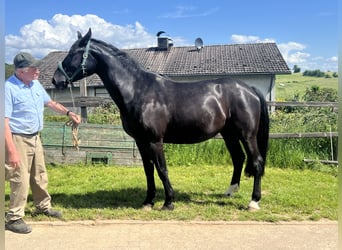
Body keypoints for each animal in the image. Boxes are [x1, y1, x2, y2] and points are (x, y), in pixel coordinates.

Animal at [52, 28, 268, 210]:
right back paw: (229, 192)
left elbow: (162, 169)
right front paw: (148, 201)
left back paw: (253, 202)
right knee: (238, 158)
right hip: (229, 133)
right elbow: (148, 169)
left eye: (73, 53)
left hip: (247, 134)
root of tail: (249, 89)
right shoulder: (141, 141)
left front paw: (168, 202)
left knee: (256, 161)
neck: (139, 90)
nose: (56, 80)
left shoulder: (155, 140)